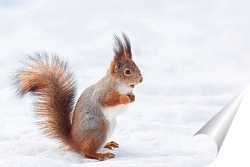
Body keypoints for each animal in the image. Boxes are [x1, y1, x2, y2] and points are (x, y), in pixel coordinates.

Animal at [14, 33, 143, 160]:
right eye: (127, 71)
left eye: (137, 67)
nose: (141, 79)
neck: (121, 86)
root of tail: (75, 143)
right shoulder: (104, 92)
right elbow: (109, 100)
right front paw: (125, 98)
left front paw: (132, 97)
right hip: (99, 127)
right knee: (87, 152)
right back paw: (101, 155)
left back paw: (107, 144)